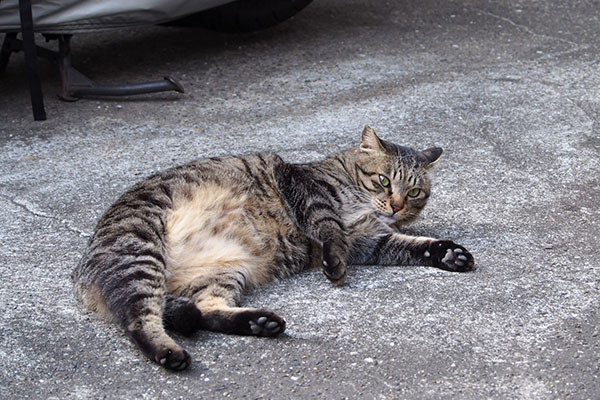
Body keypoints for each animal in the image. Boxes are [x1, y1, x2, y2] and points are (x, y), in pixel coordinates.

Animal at [71, 126, 474, 370]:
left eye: (415, 191)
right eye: (383, 180)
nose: (396, 206)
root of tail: (80, 272)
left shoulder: (369, 239)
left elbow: (409, 246)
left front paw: (448, 252)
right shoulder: (307, 189)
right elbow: (328, 225)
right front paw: (334, 263)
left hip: (220, 274)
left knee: (205, 310)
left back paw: (260, 322)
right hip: (140, 252)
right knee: (138, 319)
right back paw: (169, 353)